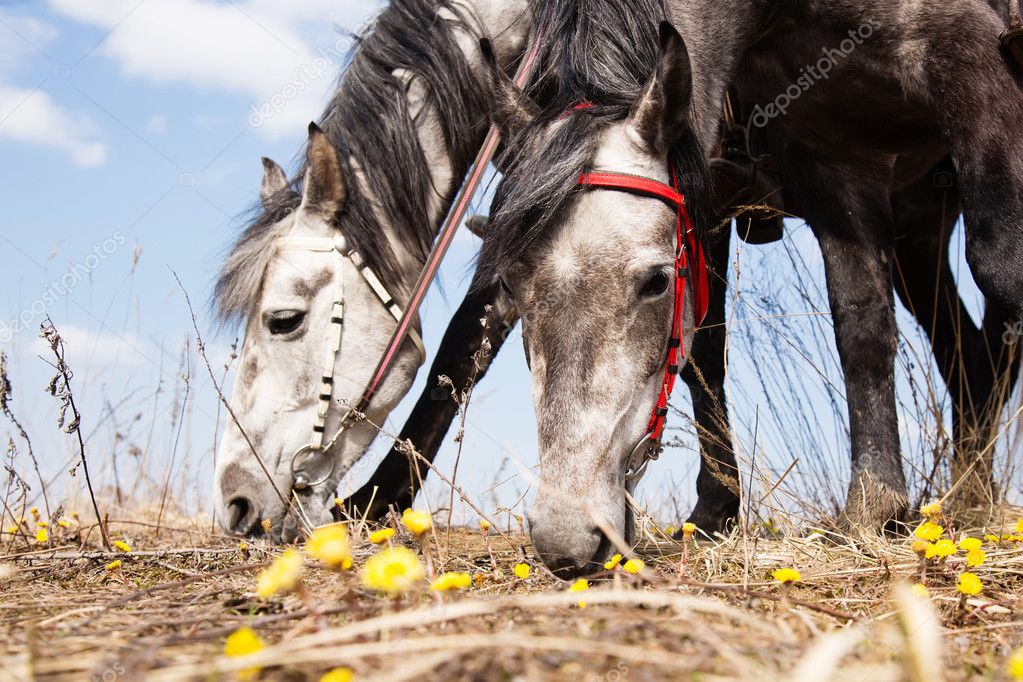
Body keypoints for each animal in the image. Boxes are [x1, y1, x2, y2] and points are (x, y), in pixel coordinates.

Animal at [474, 0, 1023, 571]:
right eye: (510, 284)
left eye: (656, 281)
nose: (565, 537)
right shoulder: (829, 158)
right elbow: (856, 327)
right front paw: (871, 504)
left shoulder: (968, 53)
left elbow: (1002, 262)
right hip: (919, 232)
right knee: (964, 352)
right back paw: (970, 491)